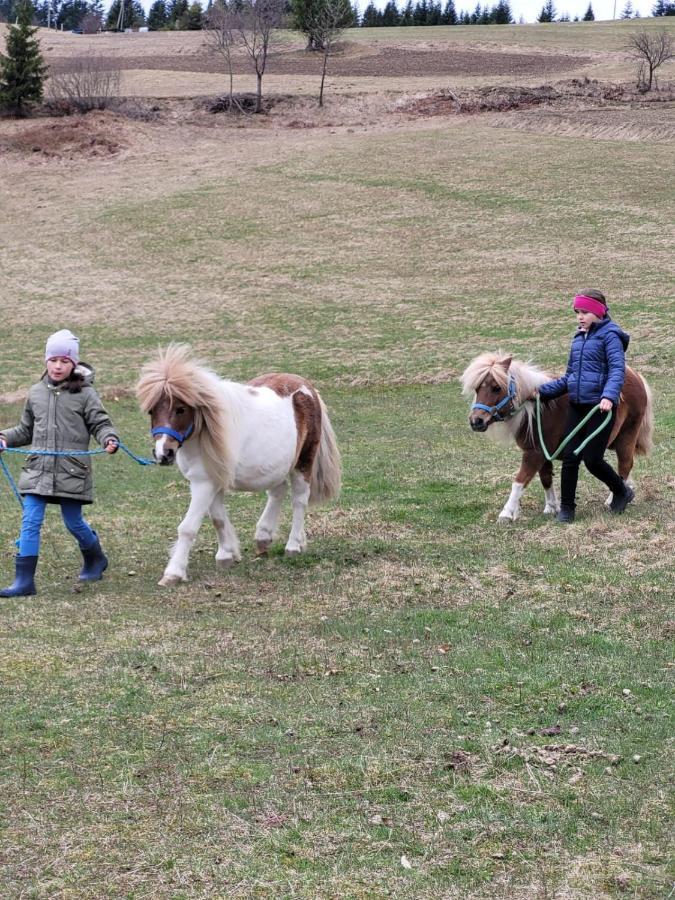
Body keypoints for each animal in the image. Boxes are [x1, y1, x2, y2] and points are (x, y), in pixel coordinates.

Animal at [137, 342, 340, 584]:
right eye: (151, 410)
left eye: (180, 408)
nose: (163, 453)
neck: (206, 433)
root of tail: (306, 386)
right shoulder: (212, 480)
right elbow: (218, 519)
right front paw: (226, 555)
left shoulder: (204, 483)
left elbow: (187, 528)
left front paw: (173, 573)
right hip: (276, 465)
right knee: (278, 491)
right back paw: (264, 537)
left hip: (303, 462)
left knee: (299, 500)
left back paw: (293, 546)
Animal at [462, 352, 652, 520]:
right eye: (477, 388)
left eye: (496, 388)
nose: (476, 421)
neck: (536, 411)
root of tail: (635, 375)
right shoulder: (543, 453)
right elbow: (545, 479)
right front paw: (552, 507)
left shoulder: (534, 454)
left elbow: (519, 481)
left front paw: (507, 513)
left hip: (626, 437)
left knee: (624, 466)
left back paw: (615, 499)